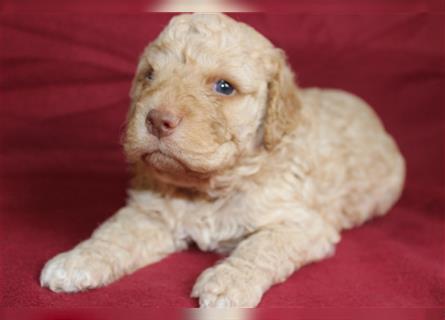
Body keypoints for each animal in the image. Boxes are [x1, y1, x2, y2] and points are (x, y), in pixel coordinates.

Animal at [40, 13, 404, 308]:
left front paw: (228, 282)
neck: (209, 187)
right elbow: (115, 233)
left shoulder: (302, 223)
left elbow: (262, 246)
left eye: (224, 87)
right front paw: (76, 260)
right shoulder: (151, 213)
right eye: (150, 76)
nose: (157, 120)